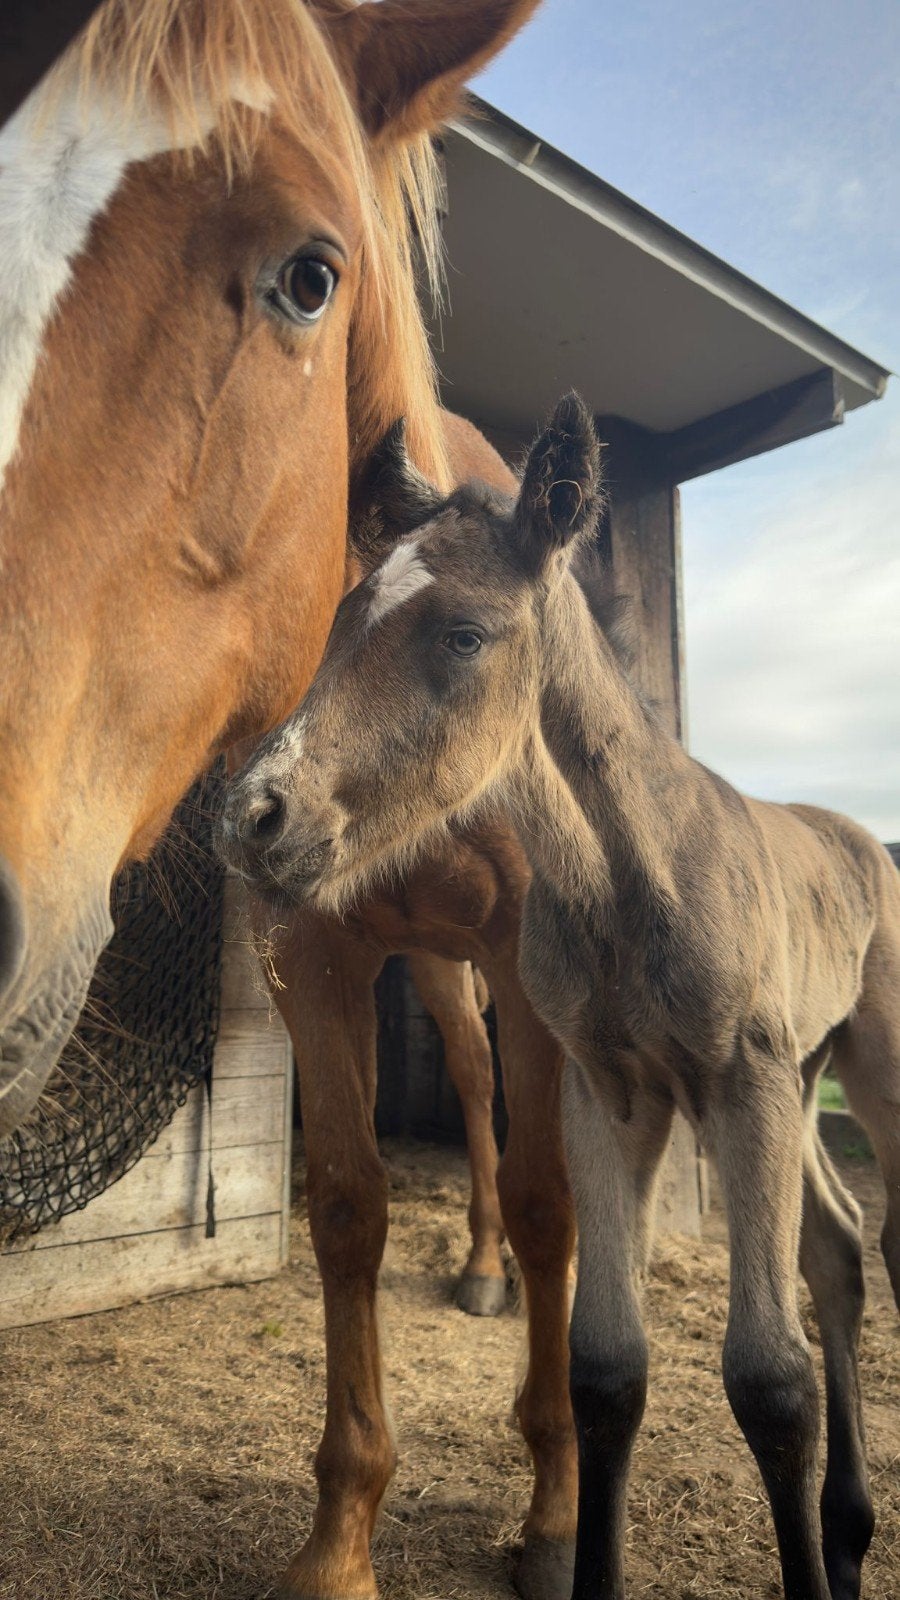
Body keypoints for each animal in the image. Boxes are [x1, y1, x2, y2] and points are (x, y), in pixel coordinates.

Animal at [221, 394, 900, 1600]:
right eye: (341, 618)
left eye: (463, 633)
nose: (254, 815)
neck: (638, 873)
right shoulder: (616, 1090)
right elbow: (609, 1364)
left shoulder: (744, 1085)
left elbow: (771, 1380)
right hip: (811, 1072)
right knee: (836, 1241)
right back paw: (849, 1531)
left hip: (866, 1064)